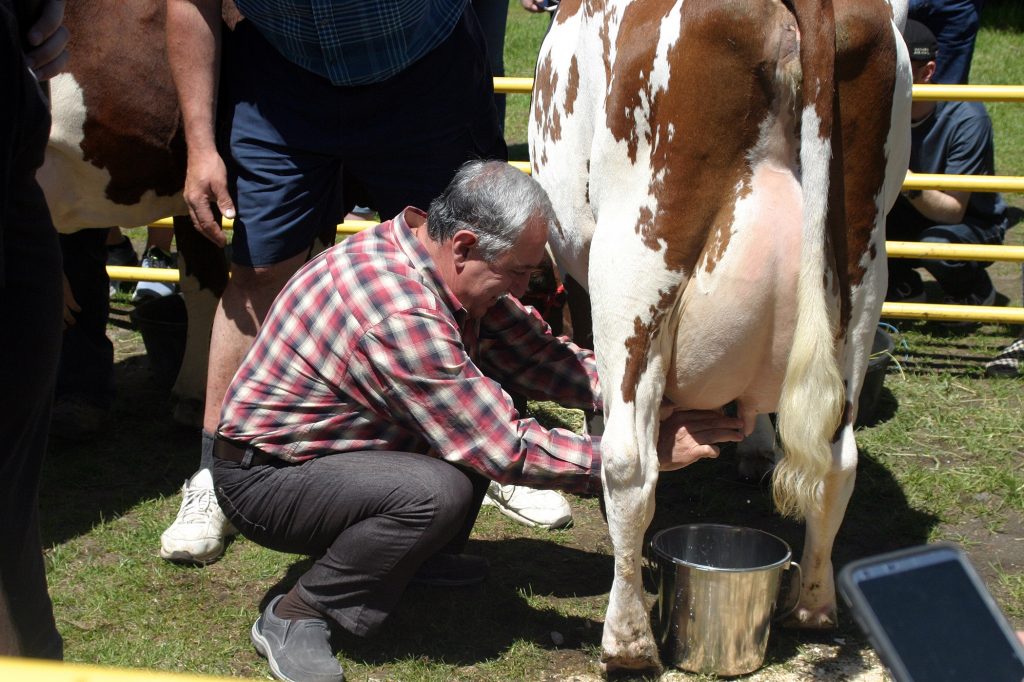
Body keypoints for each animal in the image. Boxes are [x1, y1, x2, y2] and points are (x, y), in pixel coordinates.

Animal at [532, 0, 909, 667]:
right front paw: (754, 444)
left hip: (632, 258)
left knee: (631, 465)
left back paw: (626, 639)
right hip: (861, 273)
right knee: (839, 458)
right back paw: (812, 604)